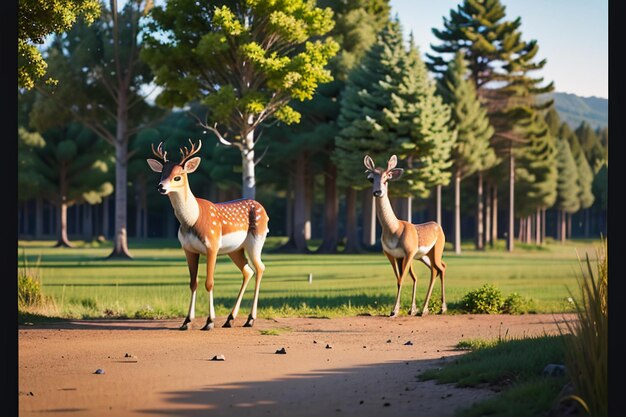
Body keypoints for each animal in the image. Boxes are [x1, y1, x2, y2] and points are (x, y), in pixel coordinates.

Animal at [147, 141, 268, 330]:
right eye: (162, 173)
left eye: (178, 176)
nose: (161, 187)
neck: (191, 221)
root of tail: (263, 208)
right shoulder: (188, 249)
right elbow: (193, 283)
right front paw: (186, 322)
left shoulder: (212, 245)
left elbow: (209, 282)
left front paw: (209, 322)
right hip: (235, 249)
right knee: (248, 271)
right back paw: (230, 319)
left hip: (256, 240)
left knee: (260, 268)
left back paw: (250, 319)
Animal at [364, 154, 446, 316]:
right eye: (370, 178)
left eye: (387, 178)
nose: (377, 192)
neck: (393, 230)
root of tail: (438, 226)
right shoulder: (392, 254)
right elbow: (400, 278)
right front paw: (407, 309)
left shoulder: (408, 252)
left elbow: (402, 279)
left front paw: (395, 311)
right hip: (423, 256)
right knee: (439, 268)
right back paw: (428, 309)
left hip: (436, 249)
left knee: (438, 269)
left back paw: (433, 309)